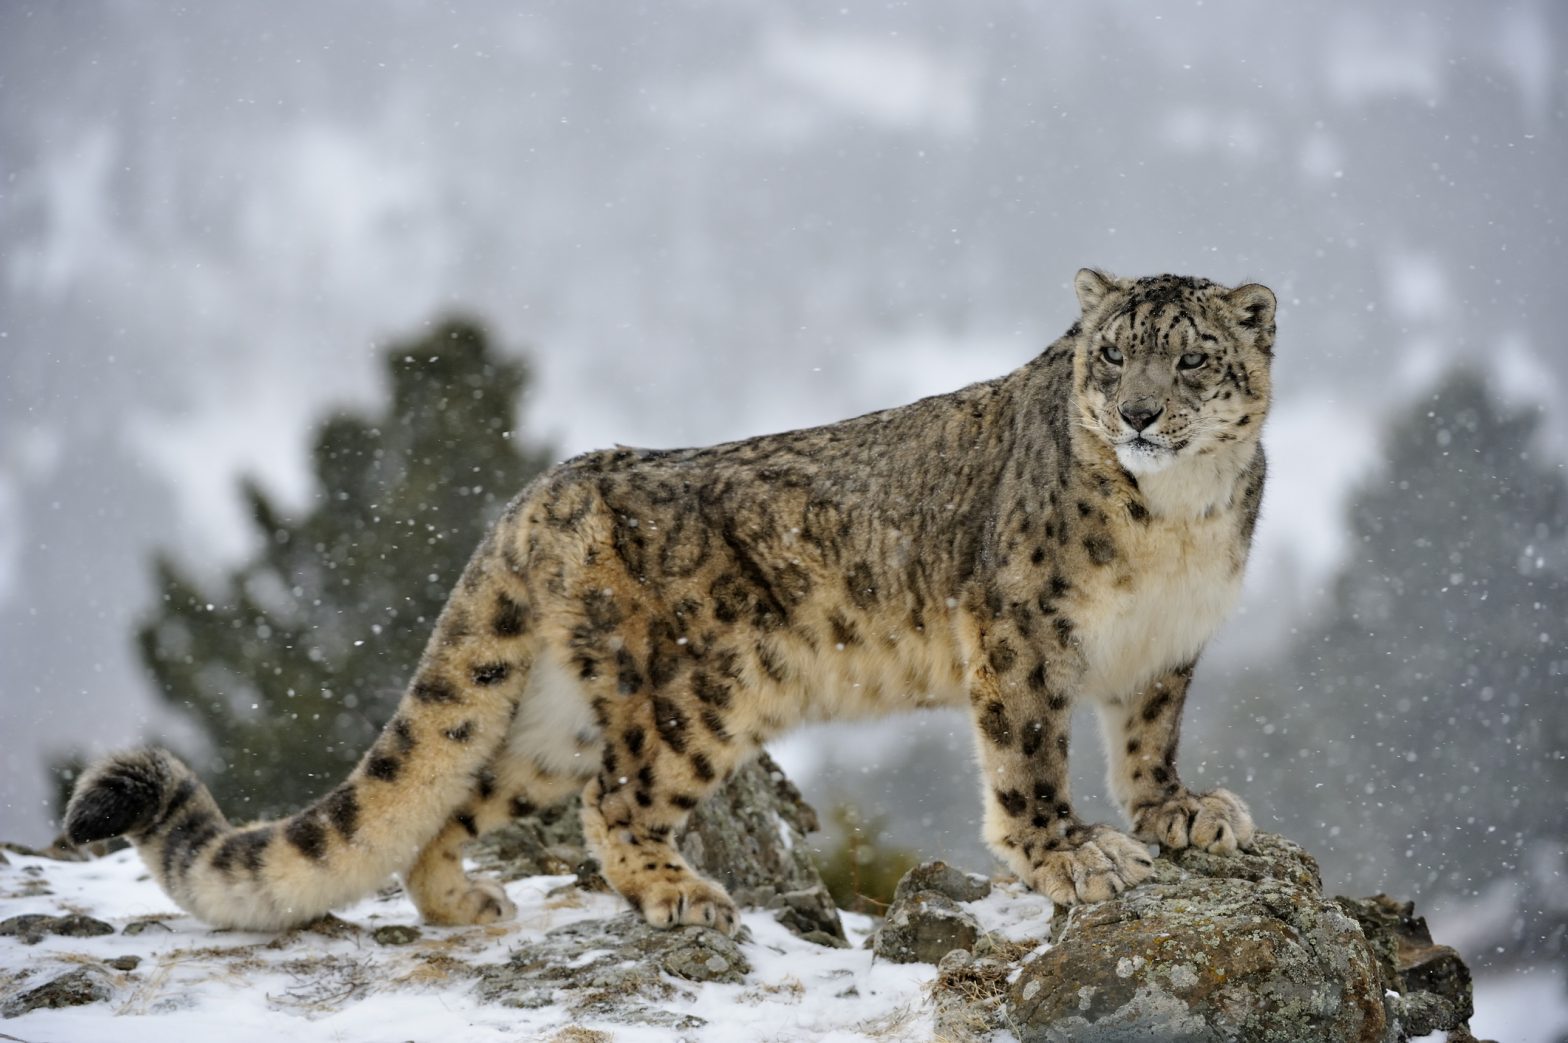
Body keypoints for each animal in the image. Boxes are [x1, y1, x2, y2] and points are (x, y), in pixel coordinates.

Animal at [65, 269, 1275, 935]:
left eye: (1190, 359)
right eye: (1110, 353)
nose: (1137, 413)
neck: (1181, 517)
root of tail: (550, 484)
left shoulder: (1167, 646)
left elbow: (1147, 741)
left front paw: (1179, 813)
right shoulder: (1020, 630)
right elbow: (1029, 755)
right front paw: (1072, 854)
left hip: (552, 714)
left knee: (465, 793)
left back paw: (465, 902)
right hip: (703, 688)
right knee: (616, 796)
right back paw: (675, 888)